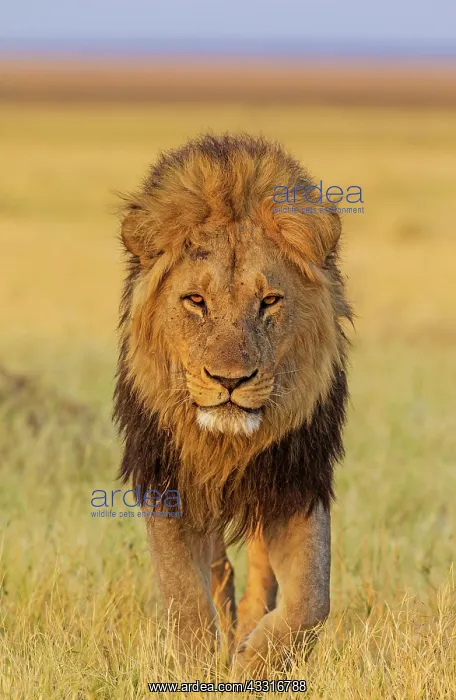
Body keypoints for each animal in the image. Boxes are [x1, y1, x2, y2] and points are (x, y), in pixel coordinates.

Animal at [113, 133, 352, 674]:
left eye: (269, 301)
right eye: (196, 301)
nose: (229, 380)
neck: (225, 445)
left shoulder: (297, 480)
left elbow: (311, 601)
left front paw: (252, 665)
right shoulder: (166, 479)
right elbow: (185, 594)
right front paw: (197, 668)